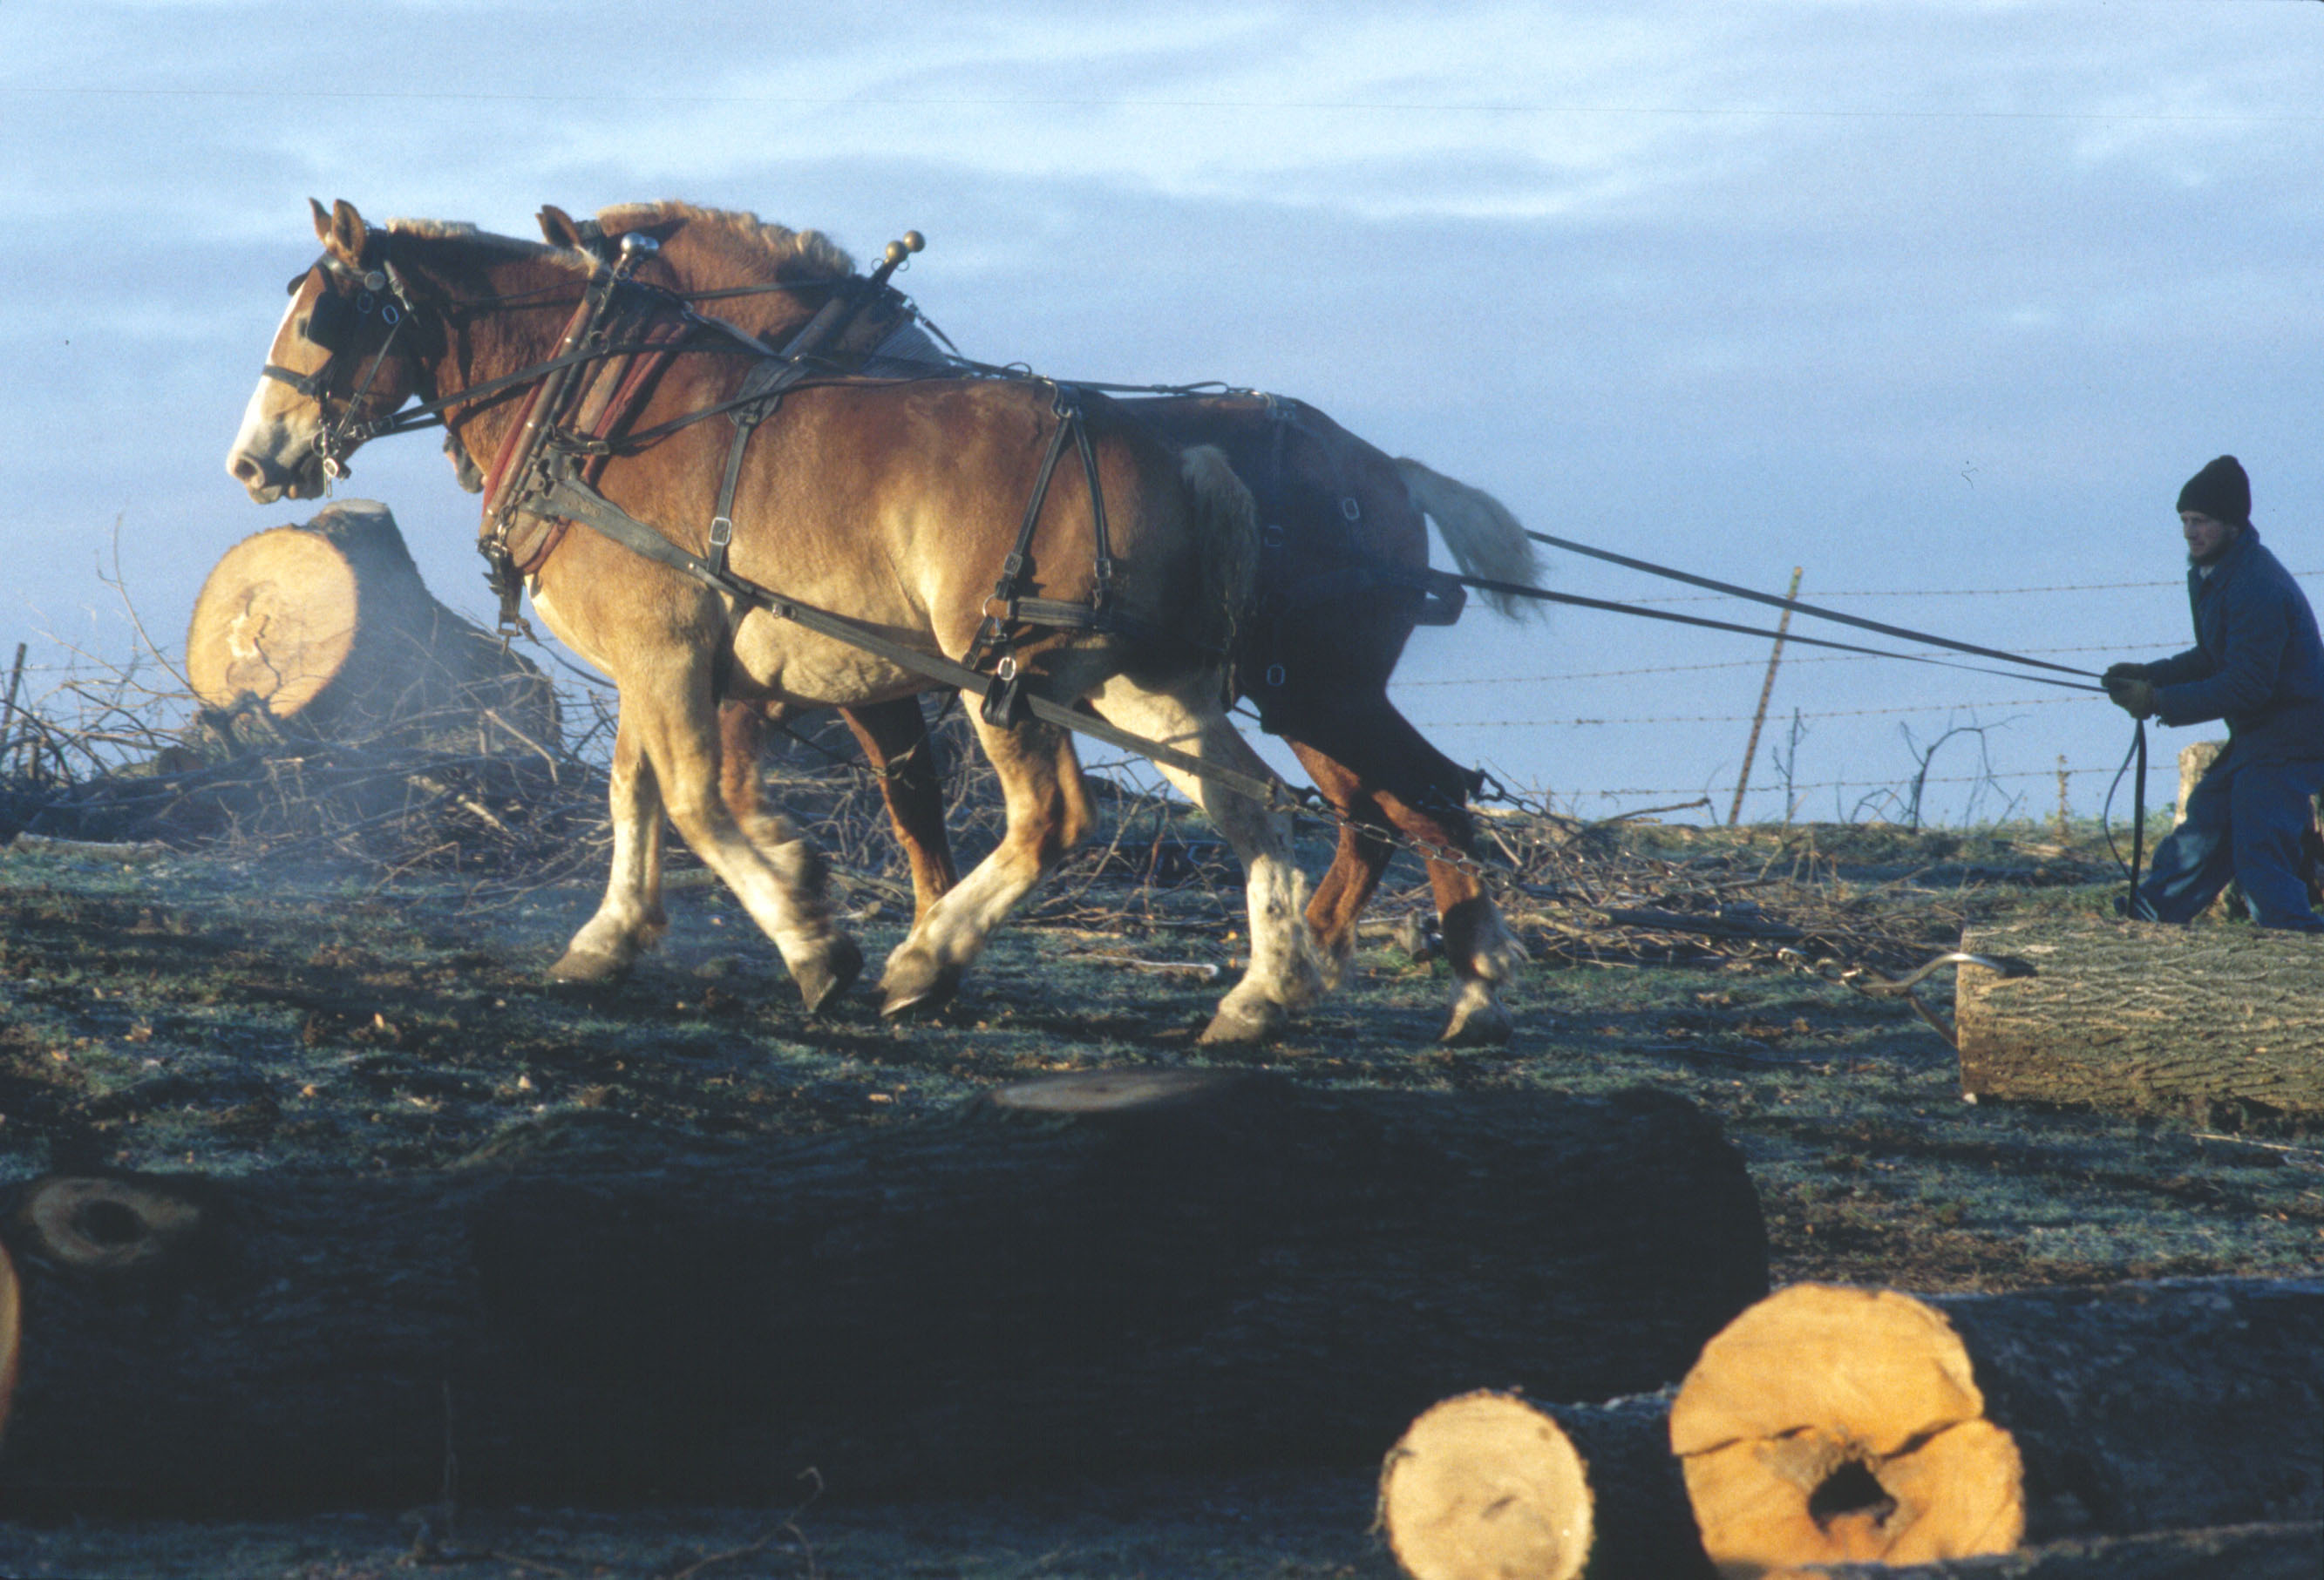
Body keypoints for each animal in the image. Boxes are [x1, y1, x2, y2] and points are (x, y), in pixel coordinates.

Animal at [235, 200, 1338, 1050]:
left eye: (322, 315)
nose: (250, 460)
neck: (591, 406)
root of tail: (1171, 455)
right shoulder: (659, 660)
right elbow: (636, 793)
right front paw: (610, 937)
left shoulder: (666, 650)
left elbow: (690, 800)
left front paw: (813, 942)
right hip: (1139, 681)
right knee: (1246, 802)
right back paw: (1261, 992)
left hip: (1009, 677)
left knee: (1053, 818)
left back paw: (922, 960)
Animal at [548, 203, 1543, 1041]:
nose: (578, 432)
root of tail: (1391, 472)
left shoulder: (859, 679)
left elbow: (898, 800)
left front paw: (903, 931)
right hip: (1304, 697)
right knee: (1387, 805)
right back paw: (1365, 972)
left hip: (1313, 692)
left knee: (1413, 799)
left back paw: (1441, 984)